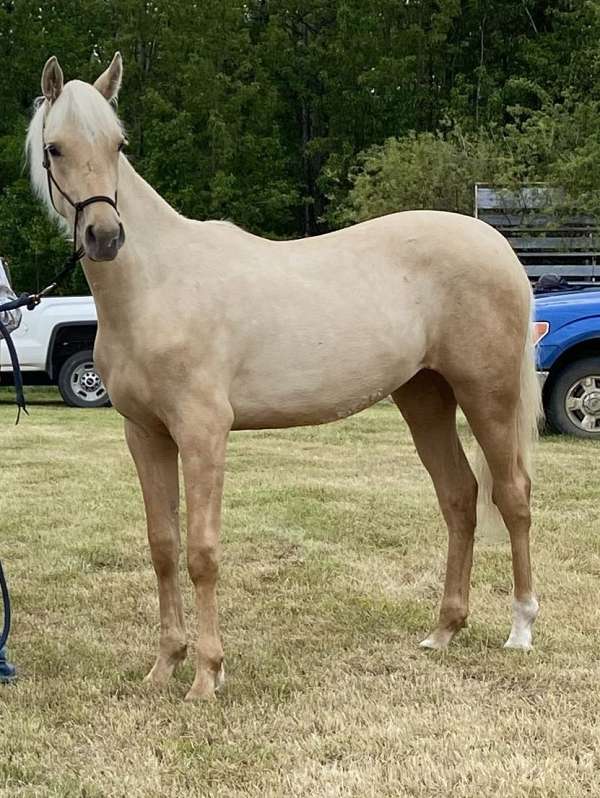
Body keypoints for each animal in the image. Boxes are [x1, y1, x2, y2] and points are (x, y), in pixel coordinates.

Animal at [28, 56, 540, 704]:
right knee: (459, 497)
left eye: (118, 145)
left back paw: (521, 628)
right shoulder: (145, 435)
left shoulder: (203, 435)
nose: (105, 236)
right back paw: (444, 631)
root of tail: (496, 244)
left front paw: (207, 676)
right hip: (425, 396)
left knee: (513, 496)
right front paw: (164, 666)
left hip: (487, 394)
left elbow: (202, 553)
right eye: (56, 148)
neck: (156, 287)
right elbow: (163, 547)